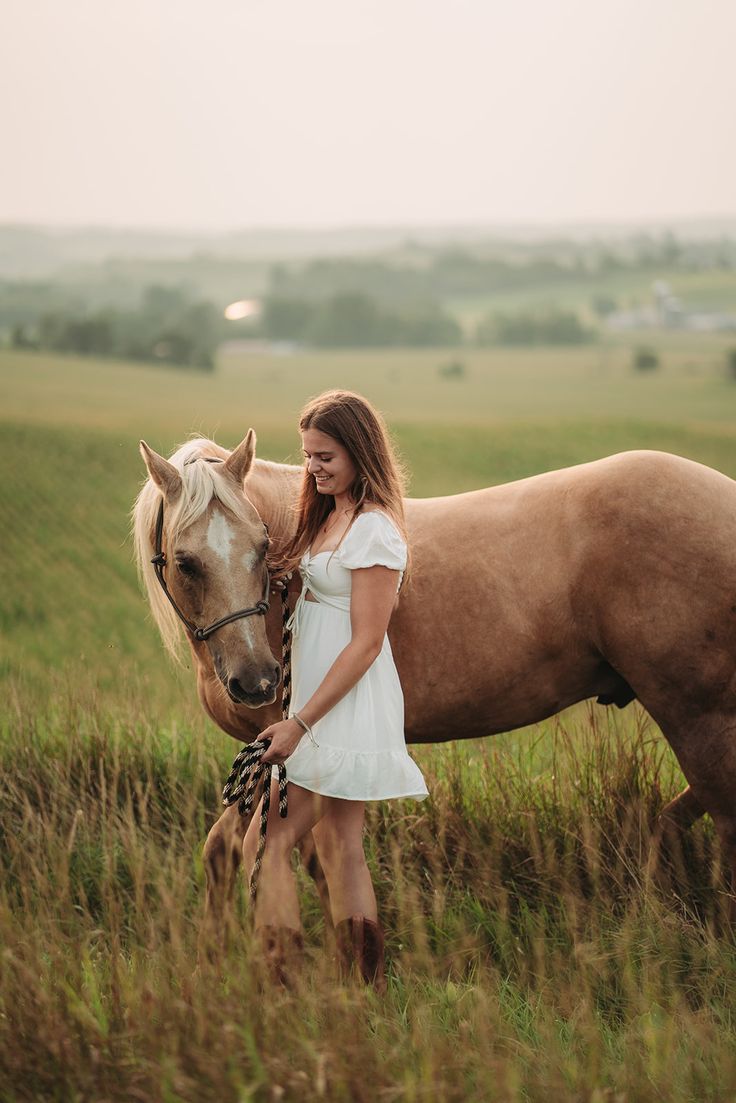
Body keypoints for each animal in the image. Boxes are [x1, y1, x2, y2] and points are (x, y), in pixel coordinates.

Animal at [135, 430, 732, 930]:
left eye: (262, 547)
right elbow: (236, 853)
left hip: (698, 717)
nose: (258, 680)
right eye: (186, 562)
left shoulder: (282, 755)